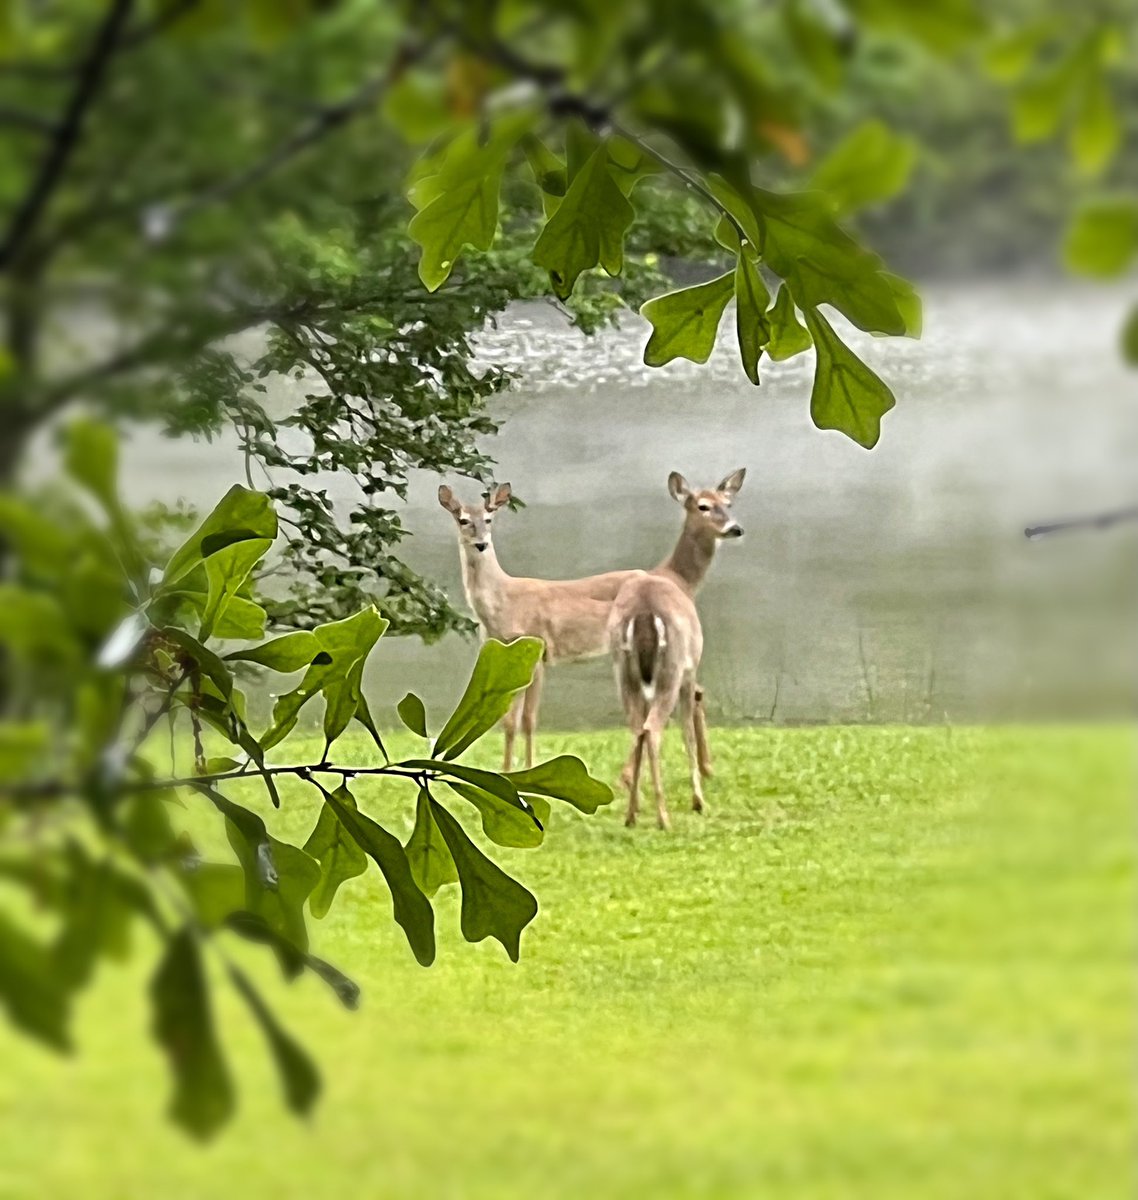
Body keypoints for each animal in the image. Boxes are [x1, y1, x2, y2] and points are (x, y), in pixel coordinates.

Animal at [436, 468, 749, 768]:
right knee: (690, 694)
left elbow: (527, 720)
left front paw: (525, 770)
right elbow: (509, 722)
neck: (503, 602)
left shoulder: (536, 648)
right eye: (463, 520)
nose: (480, 544)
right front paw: (506, 771)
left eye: (489, 519)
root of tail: (670, 578)